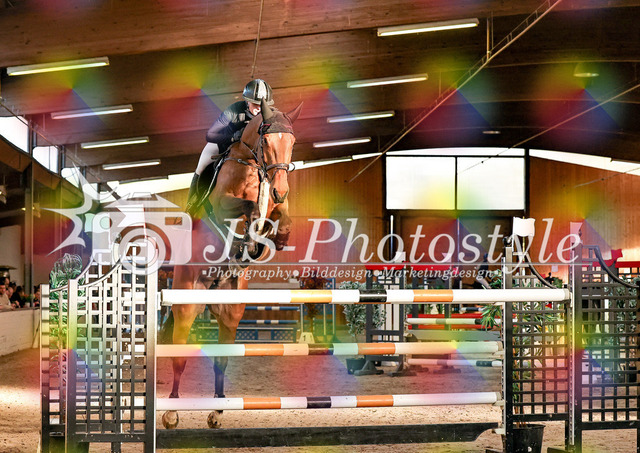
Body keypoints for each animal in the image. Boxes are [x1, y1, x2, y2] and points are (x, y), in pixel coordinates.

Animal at [161, 98, 302, 429]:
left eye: (292, 143)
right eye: (266, 141)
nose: (280, 190)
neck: (252, 167)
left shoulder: (277, 205)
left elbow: (280, 217)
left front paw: (268, 240)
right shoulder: (223, 204)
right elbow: (249, 207)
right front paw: (250, 236)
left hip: (230, 313)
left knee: (222, 359)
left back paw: (217, 410)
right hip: (187, 304)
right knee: (179, 354)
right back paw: (171, 412)